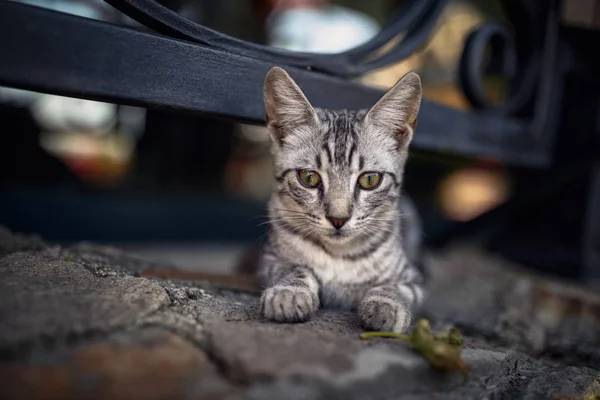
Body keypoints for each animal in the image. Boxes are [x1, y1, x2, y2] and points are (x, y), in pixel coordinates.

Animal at [260, 67, 424, 332]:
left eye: (370, 179)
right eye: (308, 177)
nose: (338, 219)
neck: (339, 255)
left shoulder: (413, 280)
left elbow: (394, 286)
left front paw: (385, 305)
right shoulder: (270, 260)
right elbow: (295, 267)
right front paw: (289, 292)